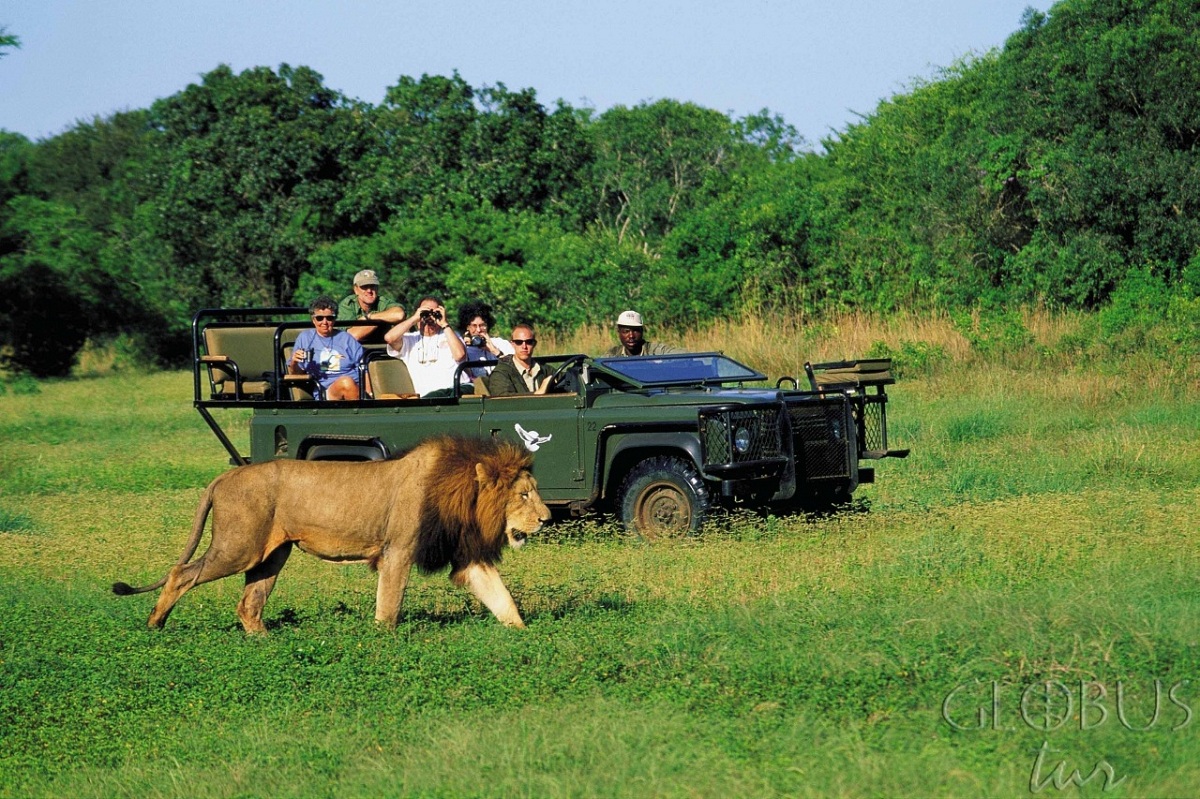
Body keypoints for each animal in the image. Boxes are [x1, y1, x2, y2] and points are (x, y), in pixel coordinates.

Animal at [110, 431, 549, 633]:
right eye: (524, 494)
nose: (546, 518)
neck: (460, 496)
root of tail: (224, 476)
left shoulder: (467, 556)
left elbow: (502, 598)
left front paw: (526, 635)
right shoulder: (397, 551)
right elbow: (389, 605)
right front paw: (384, 639)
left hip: (271, 555)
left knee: (249, 603)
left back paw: (265, 641)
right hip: (239, 547)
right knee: (180, 573)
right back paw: (155, 624)